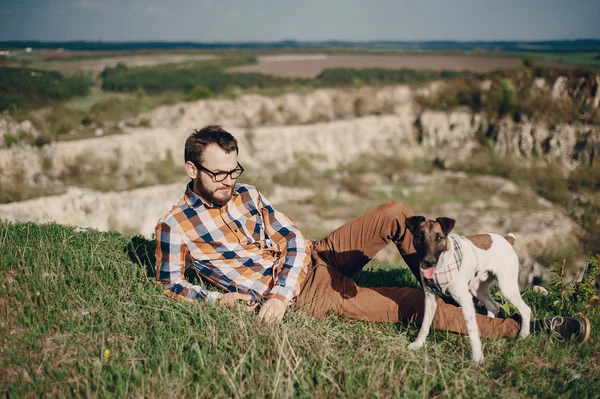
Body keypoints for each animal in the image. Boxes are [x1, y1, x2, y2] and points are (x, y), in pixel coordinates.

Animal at [406, 217, 532, 364]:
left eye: (439, 238)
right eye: (419, 237)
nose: (428, 262)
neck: (440, 267)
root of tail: (506, 239)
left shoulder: (465, 299)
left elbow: (472, 332)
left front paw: (477, 358)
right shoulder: (430, 298)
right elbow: (425, 325)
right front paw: (418, 344)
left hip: (506, 287)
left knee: (525, 309)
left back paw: (523, 335)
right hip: (477, 289)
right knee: (493, 306)